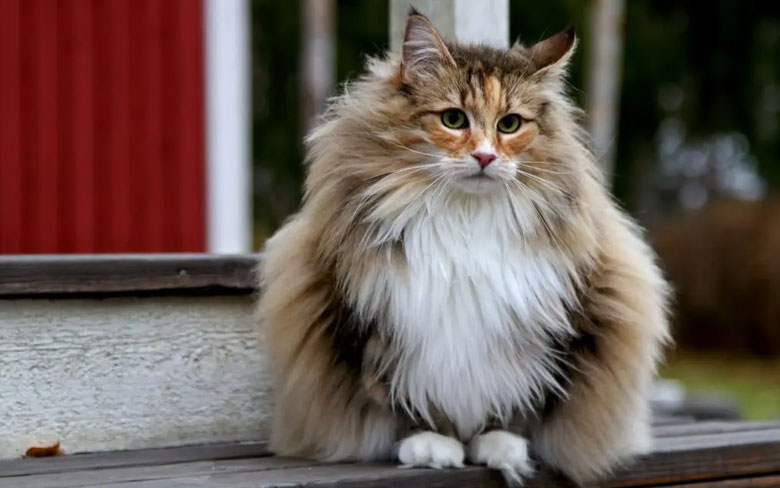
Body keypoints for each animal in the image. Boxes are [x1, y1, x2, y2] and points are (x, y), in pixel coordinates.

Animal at [258, 7, 672, 484]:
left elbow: (519, 400)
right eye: (454, 120)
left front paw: (499, 444)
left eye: (509, 124)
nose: (485, 157)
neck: (465, 220)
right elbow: (403, 397)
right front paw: (432, 444)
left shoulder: (551, 326)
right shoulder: (374, 324)